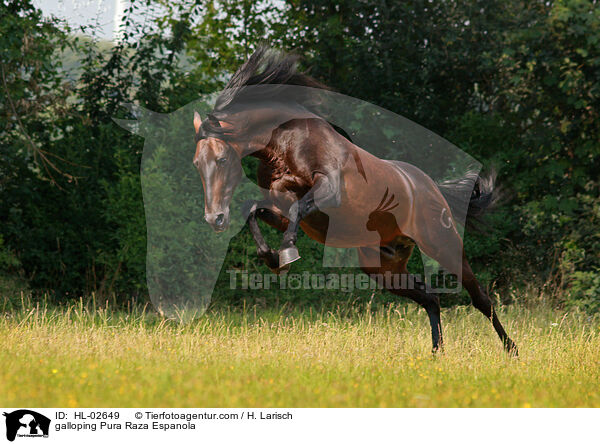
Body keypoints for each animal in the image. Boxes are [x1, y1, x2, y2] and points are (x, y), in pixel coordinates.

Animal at [192, 47, 516, 354]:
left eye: (222, 159)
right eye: (197, 162)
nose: (214, 219)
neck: (284, 144)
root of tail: (433, 188)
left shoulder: (329, 190)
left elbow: (296, 207)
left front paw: (287, 252)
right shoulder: (280, 209)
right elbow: (254, 211)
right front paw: (273, 258)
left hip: (442, 244)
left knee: (480, 298)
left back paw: (511, 350)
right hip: (383, 267)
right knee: (429, 298)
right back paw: (437, 353)